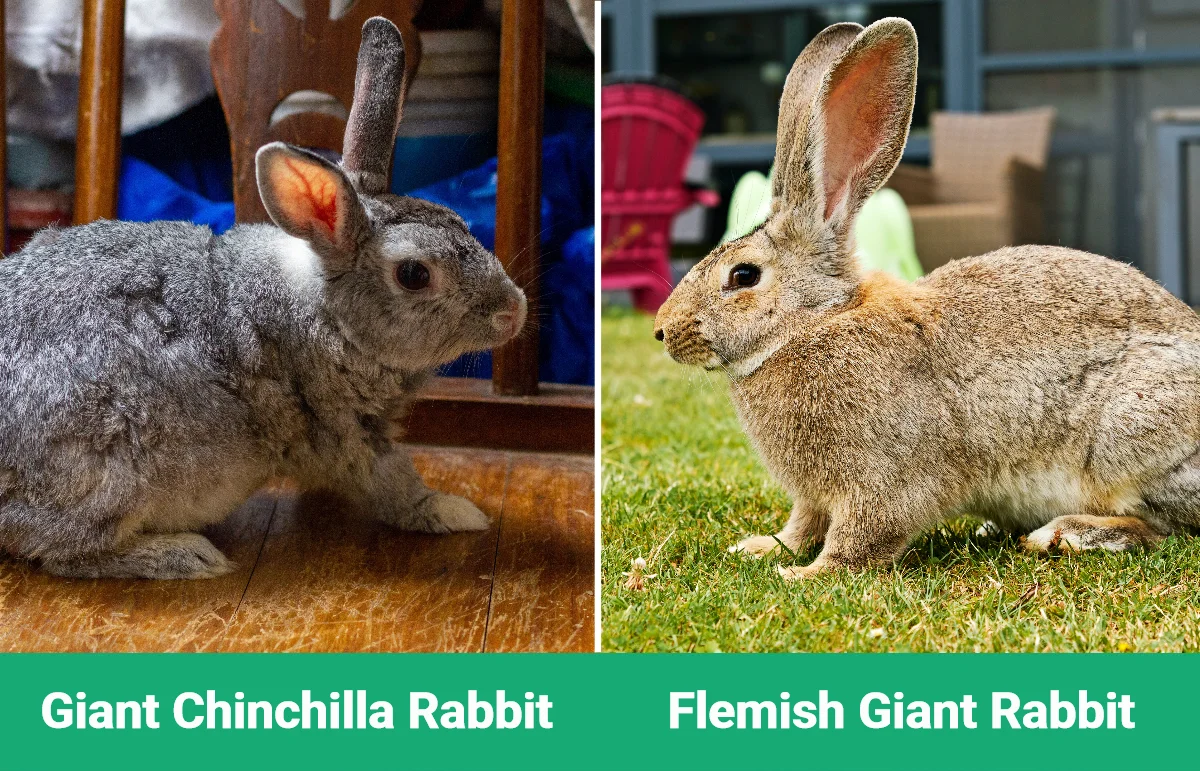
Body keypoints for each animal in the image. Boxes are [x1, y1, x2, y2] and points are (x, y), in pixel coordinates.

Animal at [0, 17, 527, 580]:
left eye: (462, 223)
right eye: (413, 274)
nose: (513, 310)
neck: (324, 312)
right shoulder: (344, 435)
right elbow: (393, 484)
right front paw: (456, 511)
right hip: (112, 472)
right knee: (66, 553)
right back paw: (184, 555)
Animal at [653, 18, 1200, 580]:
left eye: (744, 276)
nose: (664, 331)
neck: (815, 322)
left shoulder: (882, 479)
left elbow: (862, 537)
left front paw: (804, 575)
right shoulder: (814, 496)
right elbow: (802, 524)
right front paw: (763, 548)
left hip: (1129, 441)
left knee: (1165, 529)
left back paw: (1067, 534)